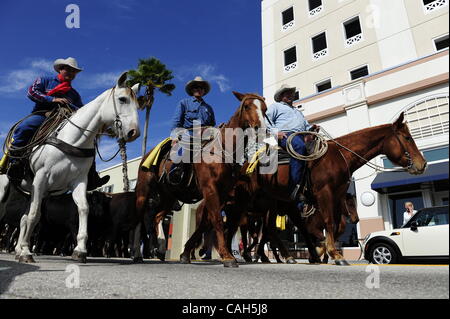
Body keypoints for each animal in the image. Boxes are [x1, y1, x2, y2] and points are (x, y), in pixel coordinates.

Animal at [0, 73, 140, 264]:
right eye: (122, 99)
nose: (134, 132)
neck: (72, 140)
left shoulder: (78, 181)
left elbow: (83, 208)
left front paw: (80, 250)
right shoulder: (41, 178)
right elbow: (35, 215)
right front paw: (28, 252)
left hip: (32, 192)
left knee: (23, 219)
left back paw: (18, 250)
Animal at [134, 92, 268, 268]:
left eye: (265, 109)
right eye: (246, 106)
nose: (261, 129)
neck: (220, 151)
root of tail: (147, 155)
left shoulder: (221, 194)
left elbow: (206, 223)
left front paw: (185, 253)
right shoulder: (210, 189)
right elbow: (217, 220)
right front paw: (227, 256)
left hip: (168, 197)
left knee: (157, 217)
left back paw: (159, 249)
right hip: (144, 190)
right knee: (140, 218)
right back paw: (138, 254)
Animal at [227, 111, 428, 266]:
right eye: (407, 138)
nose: (423, 164)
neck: (339, 156)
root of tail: (246, 166)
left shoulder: (337, 195)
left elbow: (336, 225)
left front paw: (322, 251)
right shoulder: (325, 193)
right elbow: (329, 222)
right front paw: (334, 254)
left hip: (272, 202)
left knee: (269, 229)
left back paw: (288, 256)